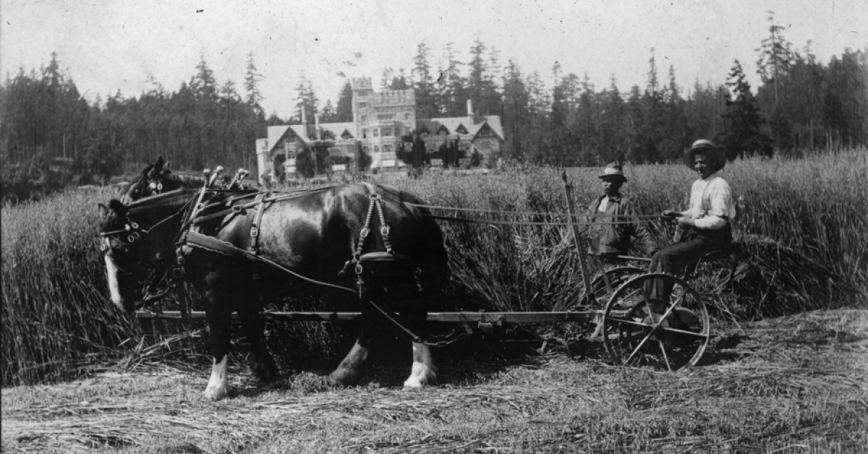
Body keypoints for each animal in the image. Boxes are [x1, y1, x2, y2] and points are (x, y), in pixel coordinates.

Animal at [101, 183, 450, 400]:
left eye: (118, 248)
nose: (121, 302)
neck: (206, 221)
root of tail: (406, 200)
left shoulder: (216, 293)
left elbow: (220, 337)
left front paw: (216, 387)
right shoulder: (243, 290)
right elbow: (252, 326)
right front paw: (264, 370)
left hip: (387, 274)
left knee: (407, 313)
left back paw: (417, 373)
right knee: (380, 317)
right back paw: (345, 373)